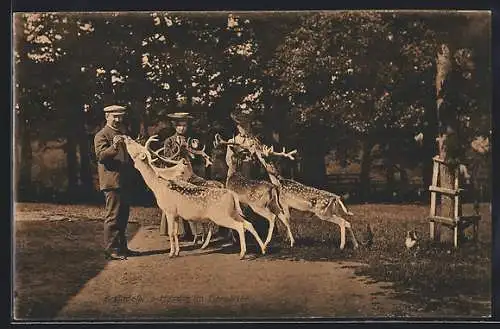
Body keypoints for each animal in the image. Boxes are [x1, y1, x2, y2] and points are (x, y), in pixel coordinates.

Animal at [121, 135, 268, 258]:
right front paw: (177, 252)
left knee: (239, 226)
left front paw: (171, 253)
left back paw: (242, 254)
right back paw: (263, 249)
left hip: (221, 215)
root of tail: (232, 194)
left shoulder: (169, 210)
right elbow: (175, 232)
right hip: (232, 212)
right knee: (248, 224)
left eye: (135, 147)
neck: (158, 187)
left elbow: (171, 233)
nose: (126, 137)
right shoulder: (176, 214)